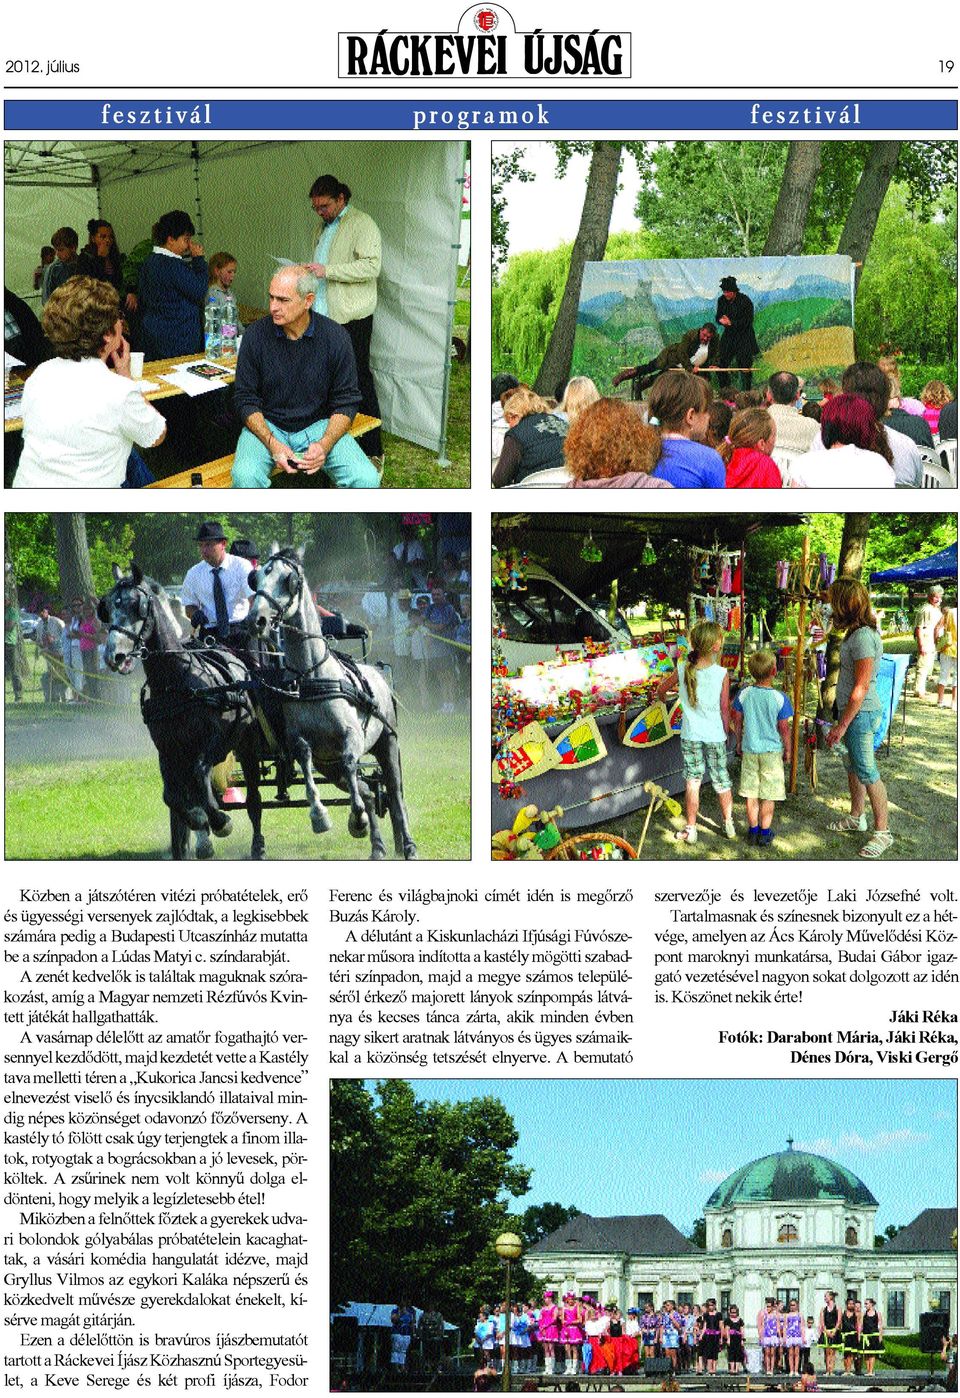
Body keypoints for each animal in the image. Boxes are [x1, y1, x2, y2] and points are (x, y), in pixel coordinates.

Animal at [100, 561, 266, 855]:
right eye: (108, 607)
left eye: (137, 606)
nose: (114, 656)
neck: (177, 682)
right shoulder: (168, 749)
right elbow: (173, 795)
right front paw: (197, 821)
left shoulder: (215, 741)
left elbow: (200, 776)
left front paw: (220, 821)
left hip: (246, 744)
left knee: (254, 799)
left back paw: (256, 844)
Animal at [247, 548, 416, 861]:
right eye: (257, 578)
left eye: (290, 580)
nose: (257, 619)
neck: (314, 677)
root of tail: (379, 673)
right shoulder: (301, 743)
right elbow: (305, 761)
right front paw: (321, 817)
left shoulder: (352, 737)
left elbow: (351, 761)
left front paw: (356, 820)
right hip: (330, 768)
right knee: (369, 792)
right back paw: (376, 845)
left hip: (387, 743)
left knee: (394, 793)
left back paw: (407, 845)